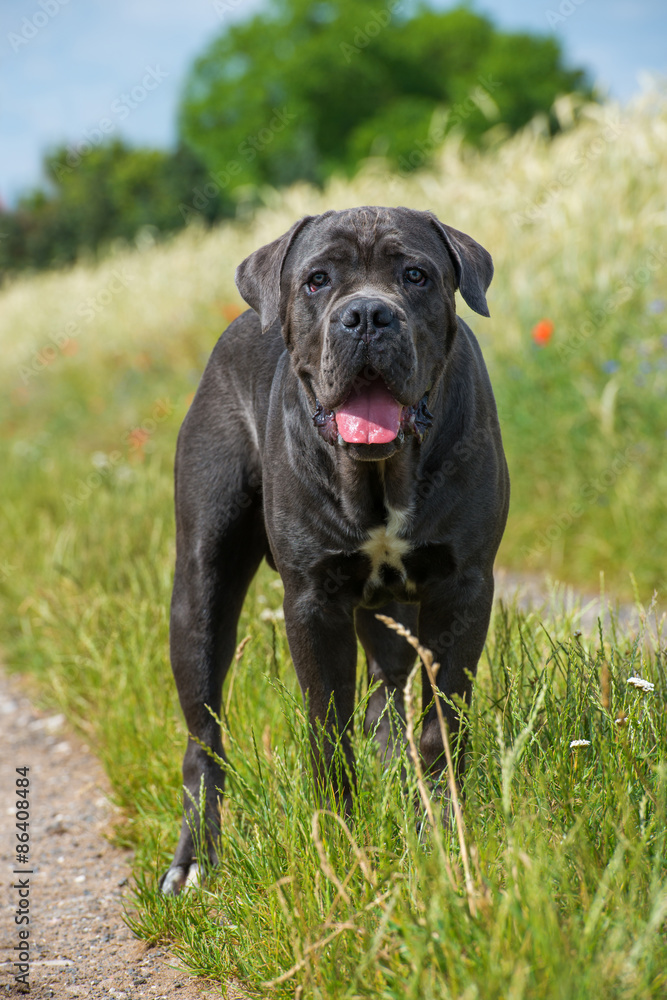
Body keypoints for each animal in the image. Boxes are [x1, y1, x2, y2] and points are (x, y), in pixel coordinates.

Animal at [162, 203, 512, 892]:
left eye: (415, 274)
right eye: (317, 280)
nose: (369, 314)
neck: (379, 476)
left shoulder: (463, 587)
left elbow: (439, 722)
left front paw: (441, 831)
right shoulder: (312, 602)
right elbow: (327, 732)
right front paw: (344, 844)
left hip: (390, 610)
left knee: (387, 700)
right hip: (200, 588)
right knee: (203, 739)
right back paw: (195, 861)